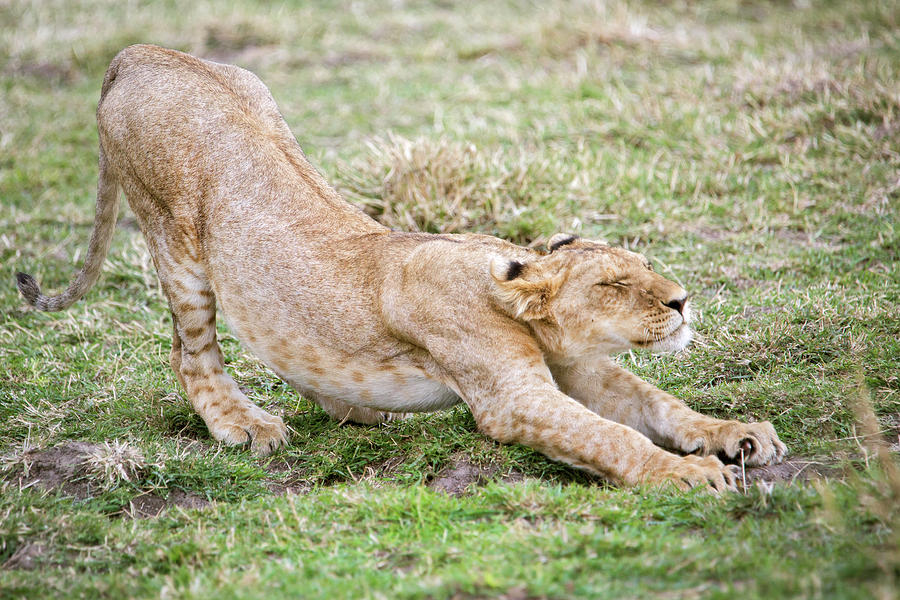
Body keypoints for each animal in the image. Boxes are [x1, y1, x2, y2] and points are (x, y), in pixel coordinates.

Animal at [17, 43, 784, 492]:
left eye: (644, 265)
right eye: (614, 285)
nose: (681, 301)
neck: (511, 297)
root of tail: (142, 50)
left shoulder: (579, 369)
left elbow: (654, 403)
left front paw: (736, 434)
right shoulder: (512, 397)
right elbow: (611, 435)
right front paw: (687, 474)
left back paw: (354, 407)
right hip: (175, 239)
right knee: (189, 351)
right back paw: (247, 425)